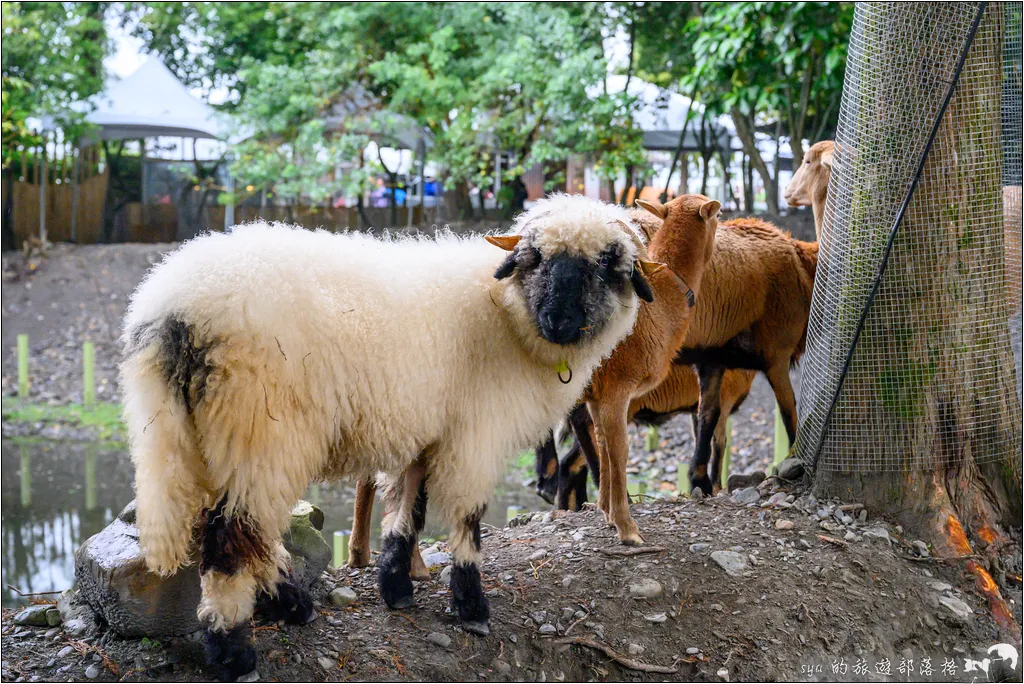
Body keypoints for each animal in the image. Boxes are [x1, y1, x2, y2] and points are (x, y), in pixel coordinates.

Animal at [119, 192, 659, 679]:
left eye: (605, 266)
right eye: (537, 258)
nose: (558, 320)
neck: (503, 313)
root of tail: (173, 313)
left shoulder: (426, 428)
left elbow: (409, 508)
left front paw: (396, 586)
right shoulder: (474, 434)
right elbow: (467, 518)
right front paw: (471, 606)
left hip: (197, 437)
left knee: (241, 528)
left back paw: (290, 605)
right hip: (259, 429)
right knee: (231, 538)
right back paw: (234, 651)